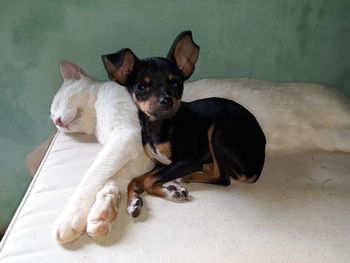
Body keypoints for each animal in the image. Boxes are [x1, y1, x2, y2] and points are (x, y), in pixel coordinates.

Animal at [51, 60, 350, 244]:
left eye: (56, 104)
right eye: (53, 116)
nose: (57, 122)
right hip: (332, 137)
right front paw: (105, 213)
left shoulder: (126, 137)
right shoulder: (140, 155)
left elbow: (94, 175)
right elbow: (118, 179)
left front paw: (70, 220)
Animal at [101, 31, 266, 218]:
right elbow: (135, 179)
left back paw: (185, 178)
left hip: (216, 131)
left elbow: (149, 181)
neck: (159, 125)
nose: (166, 100)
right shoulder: (161, 164)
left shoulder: (187, 161)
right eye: (142, 87)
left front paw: (172, 193)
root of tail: (258, 165)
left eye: (175, 84)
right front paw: (134, 202)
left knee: (222, 177)